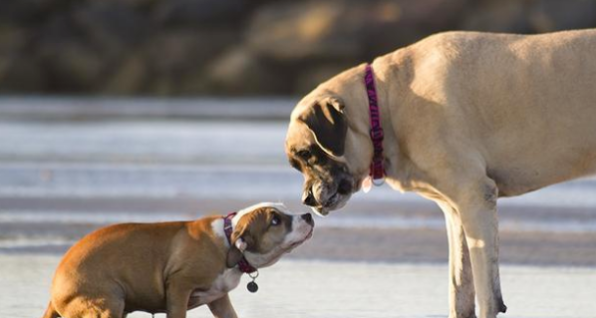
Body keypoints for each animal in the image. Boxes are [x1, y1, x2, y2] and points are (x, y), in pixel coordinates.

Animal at [42, 202, 314, 318]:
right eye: (275, 220)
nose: (308, 215)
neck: (228, 240)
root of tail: (55, 289)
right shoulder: (179, 287)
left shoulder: (220, 300)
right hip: (107, 303)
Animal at [284, 29, 596, 318]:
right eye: (297, 163)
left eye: (307, 154)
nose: (306, 198)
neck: (386, 105)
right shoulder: (455, 212)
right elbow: (459, 285)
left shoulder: (474, 197)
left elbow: (486, 290)